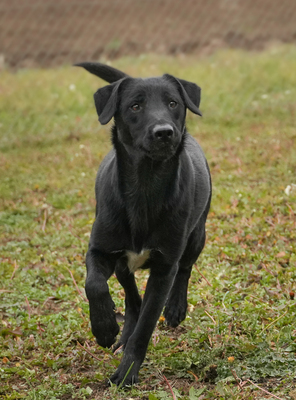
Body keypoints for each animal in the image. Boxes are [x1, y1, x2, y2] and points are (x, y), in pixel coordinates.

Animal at [75, 61, 212, 384]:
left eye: (173, 103)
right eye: (135, 106)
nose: (164, 132)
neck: (145, 187)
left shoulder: (164, 269)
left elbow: (147, 325)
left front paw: (126, 373)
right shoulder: (99, 251)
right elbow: (94, 284)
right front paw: (105, 328)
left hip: (197, 235)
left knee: (185, 268)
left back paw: (175, 308)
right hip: (122, 263)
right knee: (130, 296)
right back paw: (121, 330)